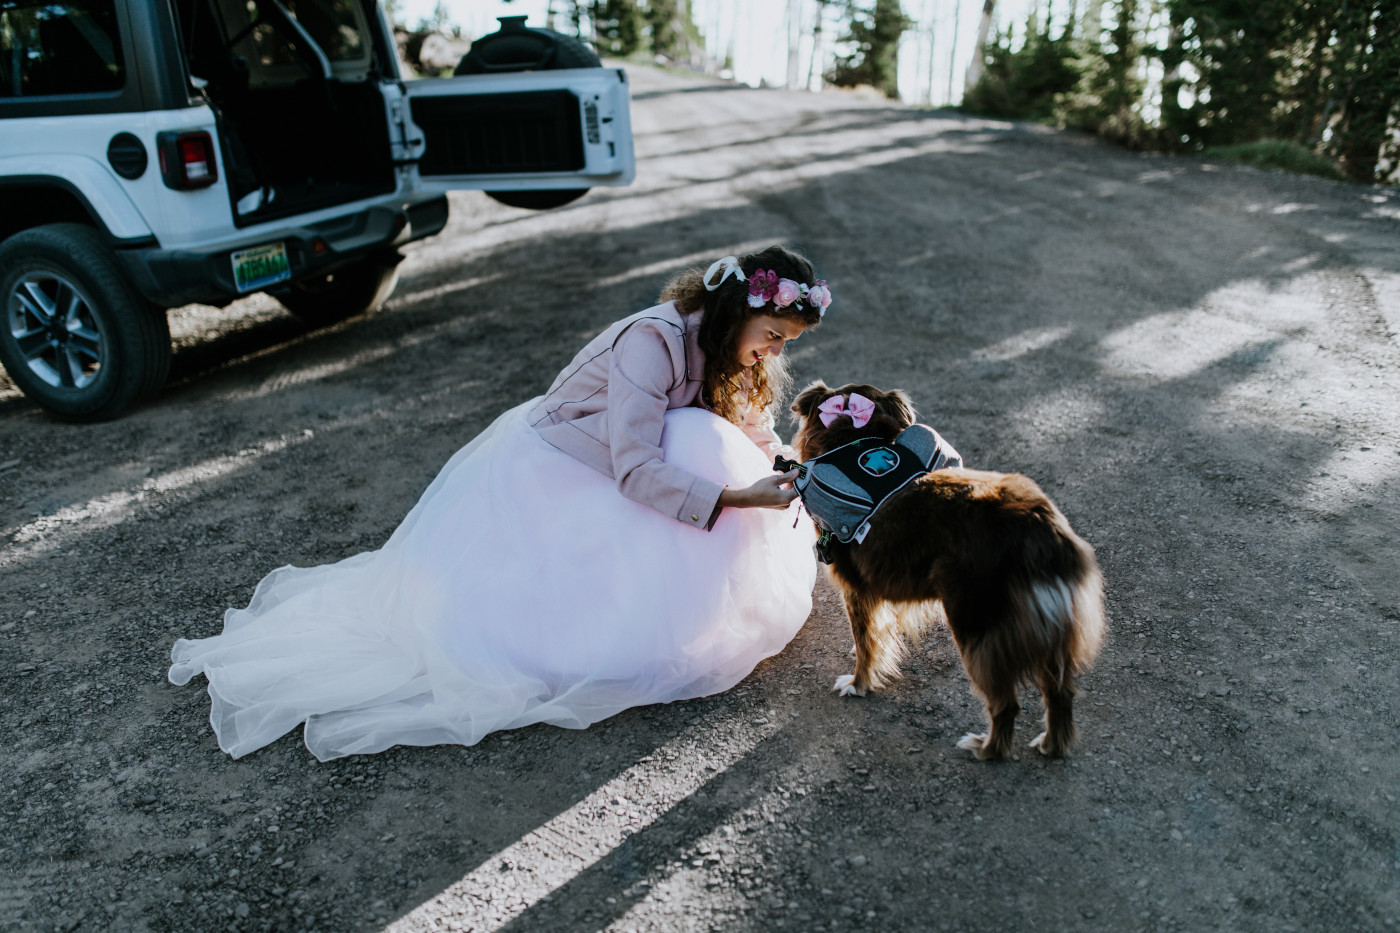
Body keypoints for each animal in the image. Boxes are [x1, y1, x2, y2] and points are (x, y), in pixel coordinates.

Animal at [789, 381, 1103, 750]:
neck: (854, 439)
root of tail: (1036, 522)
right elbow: (877, 635)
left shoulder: (856, 590)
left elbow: (866, 644)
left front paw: (858, 684)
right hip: (1047, 623)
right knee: (1059, 692)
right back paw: (1049, 746)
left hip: (973, 624)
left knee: (1006, 703)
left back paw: (985, 748)